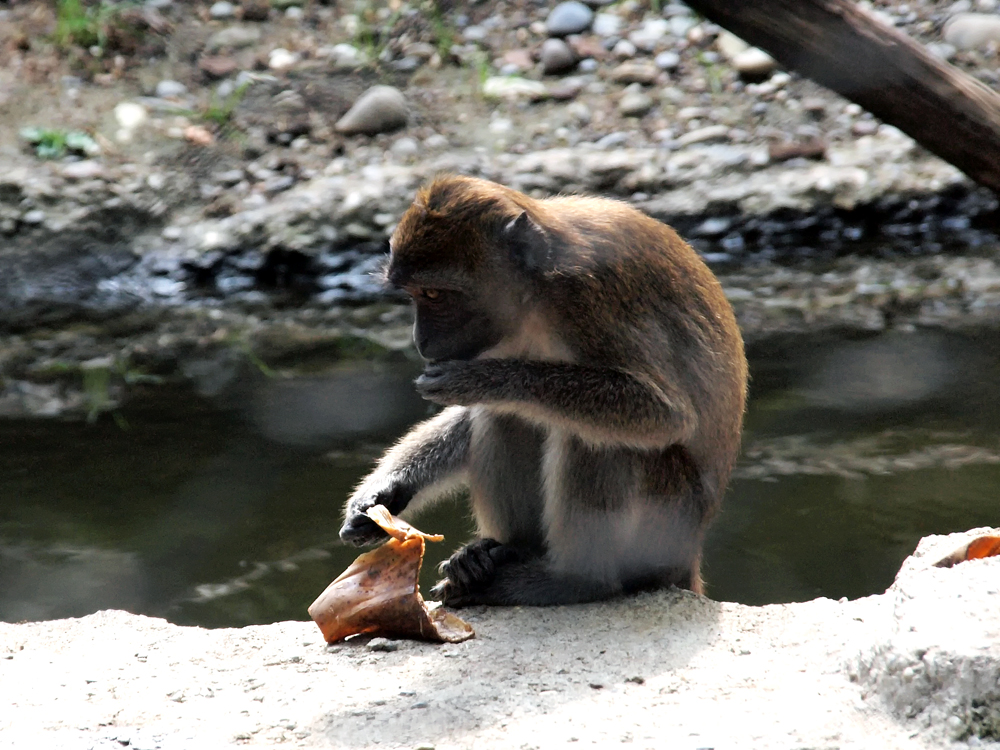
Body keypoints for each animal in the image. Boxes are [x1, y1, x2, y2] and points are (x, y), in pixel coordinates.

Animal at [340, 178, 748, 612]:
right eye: (414, 295)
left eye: (434, 294)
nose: (421, 340)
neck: (537, 292)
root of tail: (690, 555)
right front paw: (385, 492)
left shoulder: (589, 299)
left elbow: (665, 415)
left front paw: (483, 379)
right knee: (509, 417)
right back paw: (502, 554)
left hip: (666, 524)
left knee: (598, 440)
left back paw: (575, 581)